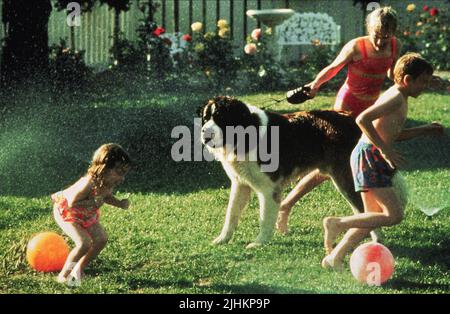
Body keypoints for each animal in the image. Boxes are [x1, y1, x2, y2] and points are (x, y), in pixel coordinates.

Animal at [200, 95, 376, 248]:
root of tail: (352, 119)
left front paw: (259, 243)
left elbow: (264, 218)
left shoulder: (268, 188)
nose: (205, 133)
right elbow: (231, 214)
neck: (244, 134)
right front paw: (222, 239)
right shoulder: (240, 184)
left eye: (221, 118)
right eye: (206, 118)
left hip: (345, 178)